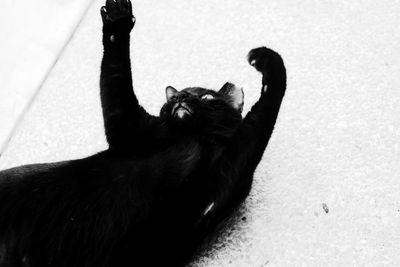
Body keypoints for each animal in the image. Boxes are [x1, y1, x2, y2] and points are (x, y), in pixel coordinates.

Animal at [0, 0, 286, 267]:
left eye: (206, 97)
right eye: (176, 97)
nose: (181, 97)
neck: (191, 137)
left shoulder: (221, 181)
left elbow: (261, 116)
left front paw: (267, 61)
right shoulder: (128, 127)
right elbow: (116, 74)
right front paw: (117, 18)